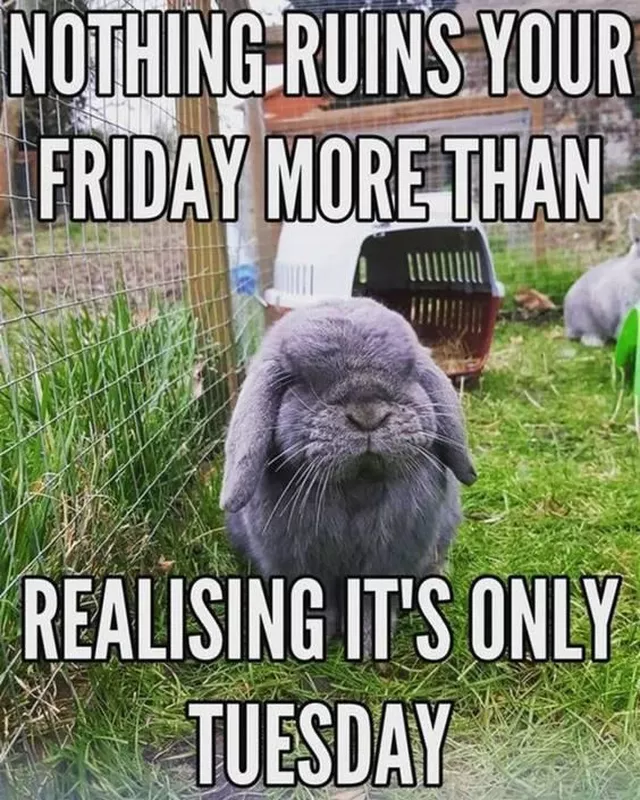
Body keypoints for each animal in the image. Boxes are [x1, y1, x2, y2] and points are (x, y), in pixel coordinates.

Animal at [220, 297, 476, 658]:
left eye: (410, 371)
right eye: (298, 381)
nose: (368, 414)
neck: (358, 486)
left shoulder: (390, 563)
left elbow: (373, 605)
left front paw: (370, 646)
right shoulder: (298, 565)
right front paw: (311, 642)